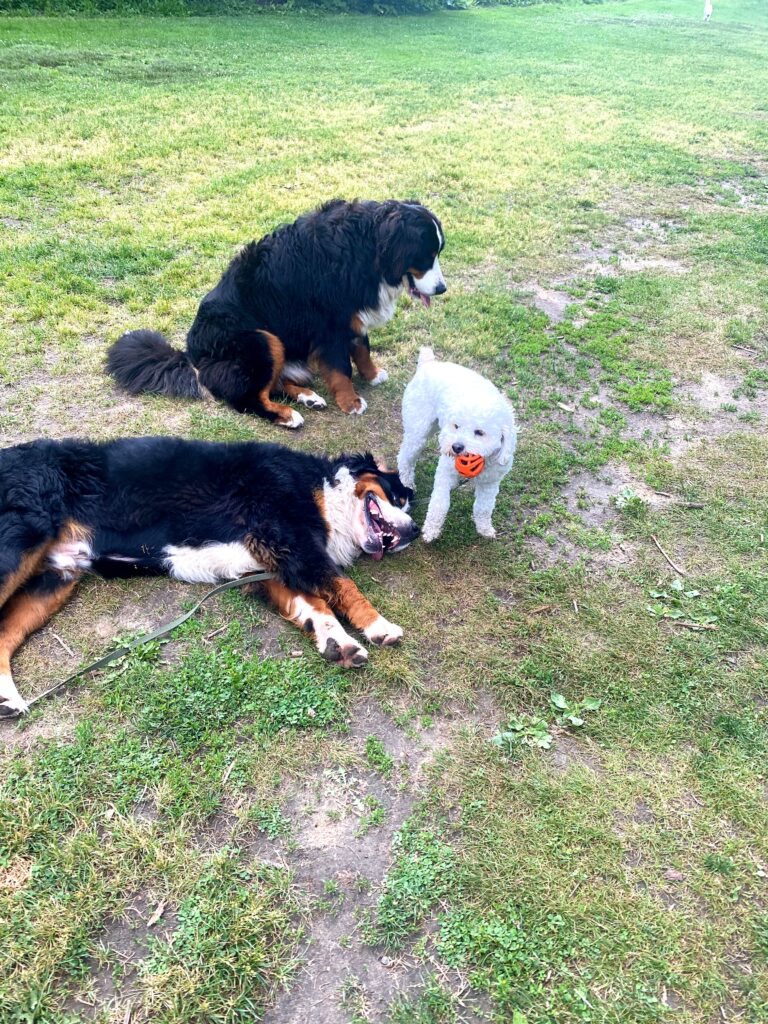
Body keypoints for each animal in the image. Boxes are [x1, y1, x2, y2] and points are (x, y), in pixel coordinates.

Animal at [1, 436, 421, 716]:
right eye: (398, 498)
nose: (415, 531)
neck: (321, 490)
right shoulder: (288, 536)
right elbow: (342, 586)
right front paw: (379, 626)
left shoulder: (267, 564)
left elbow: (314, 605)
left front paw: (338, 642)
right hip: (19, 544)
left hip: (55, 578)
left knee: (6, 632)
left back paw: (7, 697)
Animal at [105, 199, 448, 428]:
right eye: (427, 255)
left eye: (437, 253)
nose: (442, 288)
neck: (365, 248)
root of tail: (191, 354)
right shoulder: (330, 323)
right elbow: (341, 368)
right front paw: (351, 402)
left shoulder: (352, 315)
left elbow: (362, 349)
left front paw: (373, 375)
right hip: (261, 339)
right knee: (248, 398)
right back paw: (288, 415)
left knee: (273, 385)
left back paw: (308, 397)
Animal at [397, 348, 518, 544]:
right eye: (456, 426)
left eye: (479, 432)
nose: (456, 447)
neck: (483, 460)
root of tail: (428, 364)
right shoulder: (445, 474)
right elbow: (439, 504)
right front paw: (431, 530)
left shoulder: (490, 483)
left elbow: (484, 508)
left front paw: (484, 529)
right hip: (418, 431)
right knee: (404, 458)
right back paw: (407, 482)